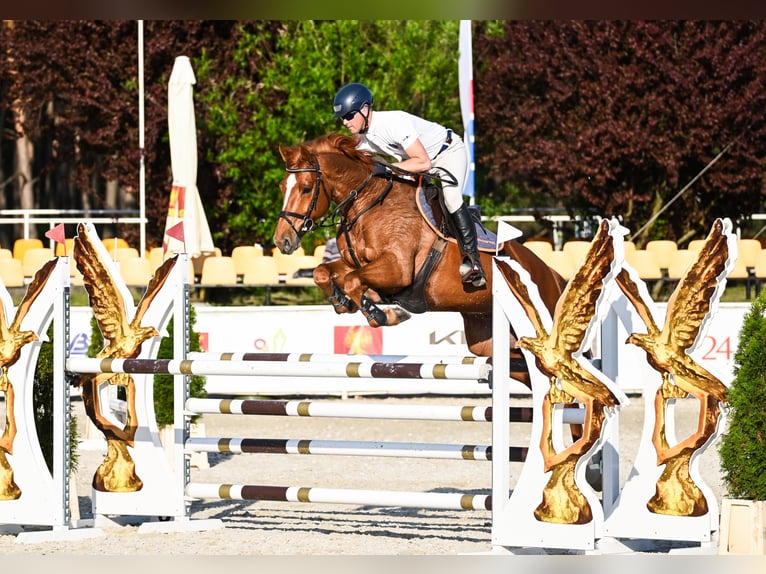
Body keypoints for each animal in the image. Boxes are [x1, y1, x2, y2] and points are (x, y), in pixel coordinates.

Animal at [273, 132, 567, 386]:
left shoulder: (398, 269)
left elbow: (354, 281)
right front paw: (341, 302)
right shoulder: (353, 262)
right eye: (282, 187)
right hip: (488, 338)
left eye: (306, 189)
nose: (282, 241)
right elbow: (323, 272)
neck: (368, 203)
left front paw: (382, 314)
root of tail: (554, 276)